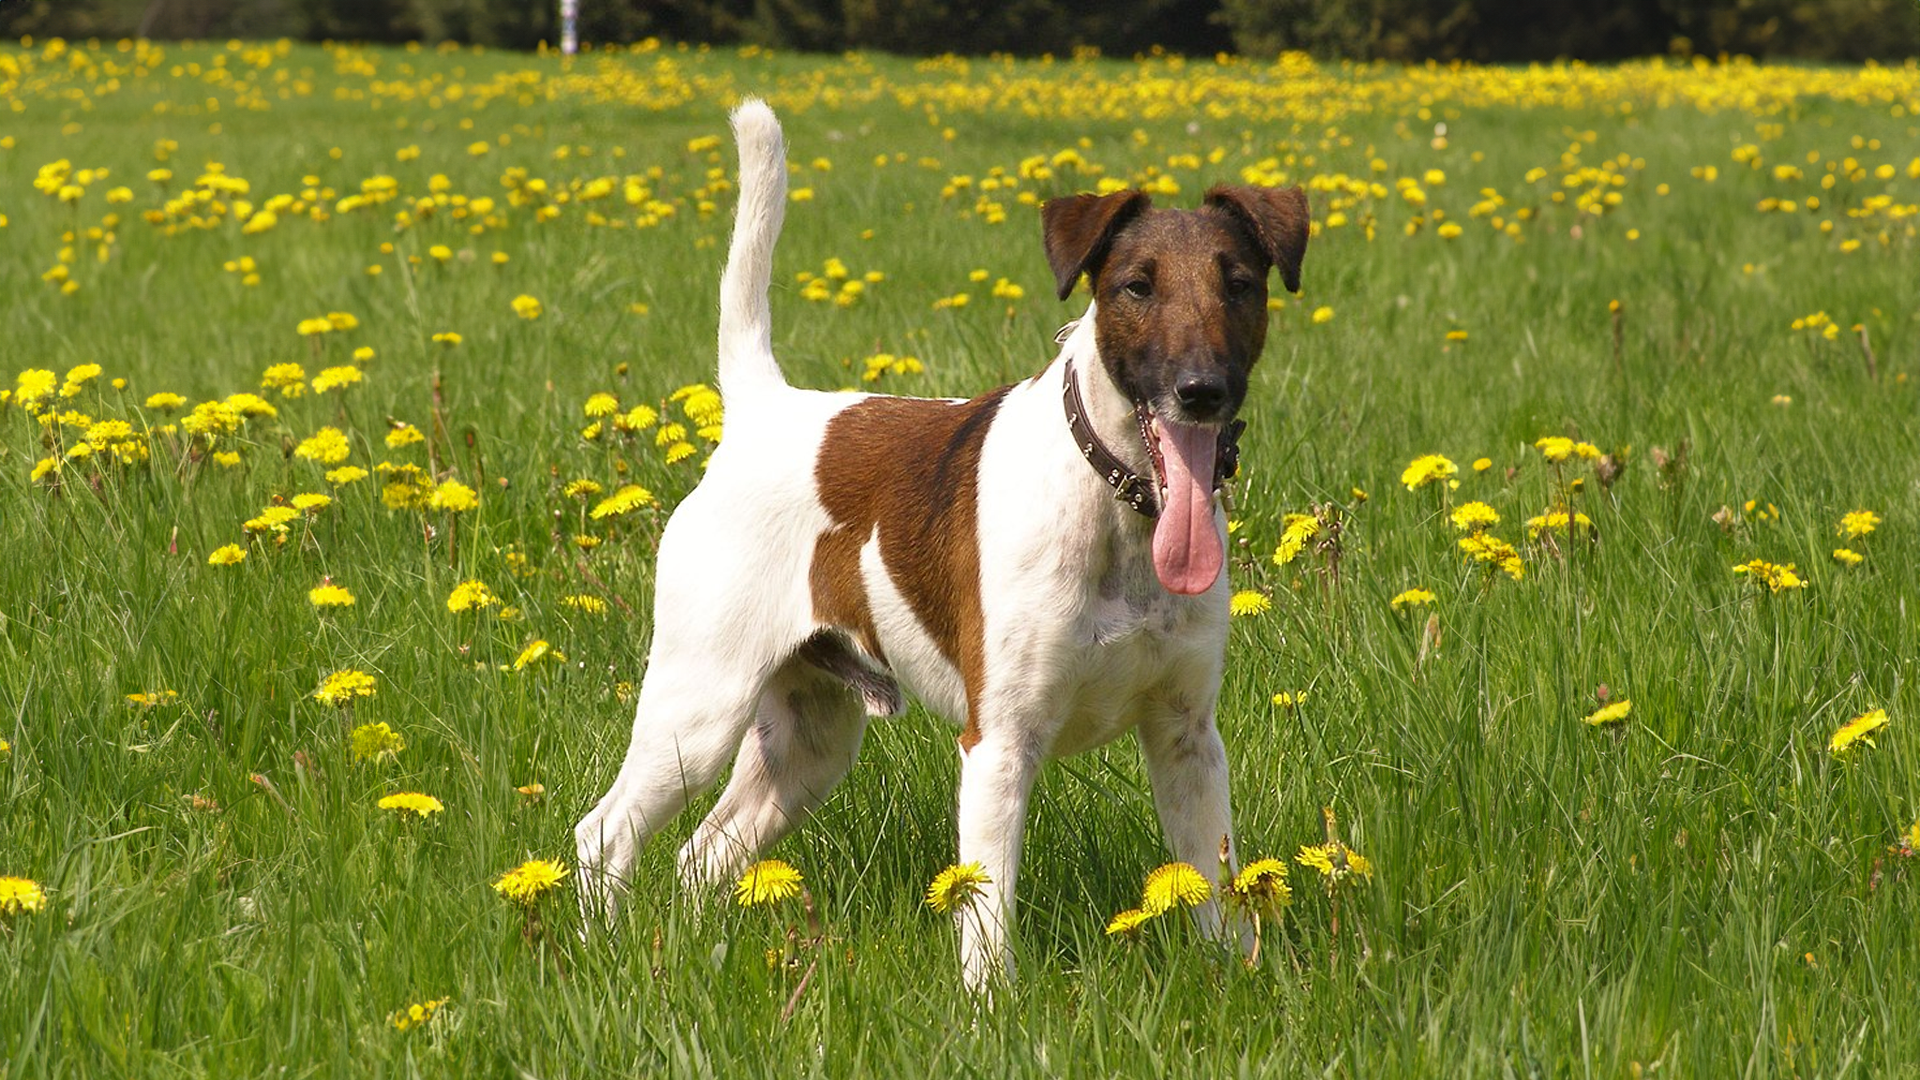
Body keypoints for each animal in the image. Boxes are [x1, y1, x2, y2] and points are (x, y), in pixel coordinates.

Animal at [572, 98, 1305, 983]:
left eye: (1240, 285)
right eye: (1137, 285)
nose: (1202, 390)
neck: (1115, 507)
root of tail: (762, 410)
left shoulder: (1188, 738)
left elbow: (1218, 894)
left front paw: (1246, 986)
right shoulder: (997, 745)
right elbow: (987, 924)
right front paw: (995, 1007)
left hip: (807, 742)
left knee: (700, 854)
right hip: (698, 705)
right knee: (604, 835)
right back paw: (602, 957)